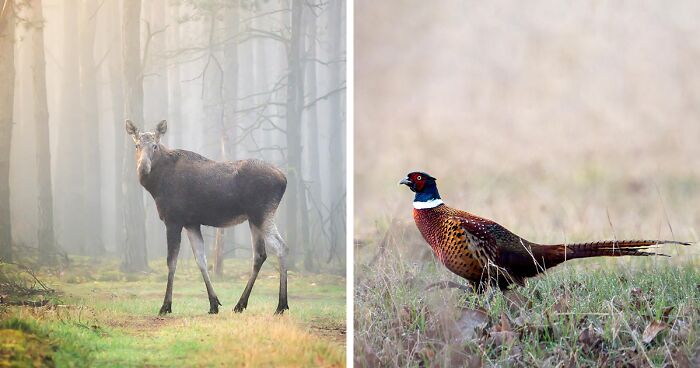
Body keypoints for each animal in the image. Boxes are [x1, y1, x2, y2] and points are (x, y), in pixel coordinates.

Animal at [126, 119, 290, 314]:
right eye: (136, 145)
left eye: (155, 146)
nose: (143, 168)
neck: (156, 186)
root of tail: (284, 179)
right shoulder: (191, 223)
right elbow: (201, 260)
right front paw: (213, 303)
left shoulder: (173, 220)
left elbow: (171, 262)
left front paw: (166, 305)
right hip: (254, 218)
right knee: (260, 254)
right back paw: (240, 304)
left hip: (262, 213)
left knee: (280, 247)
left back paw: (281, 305)